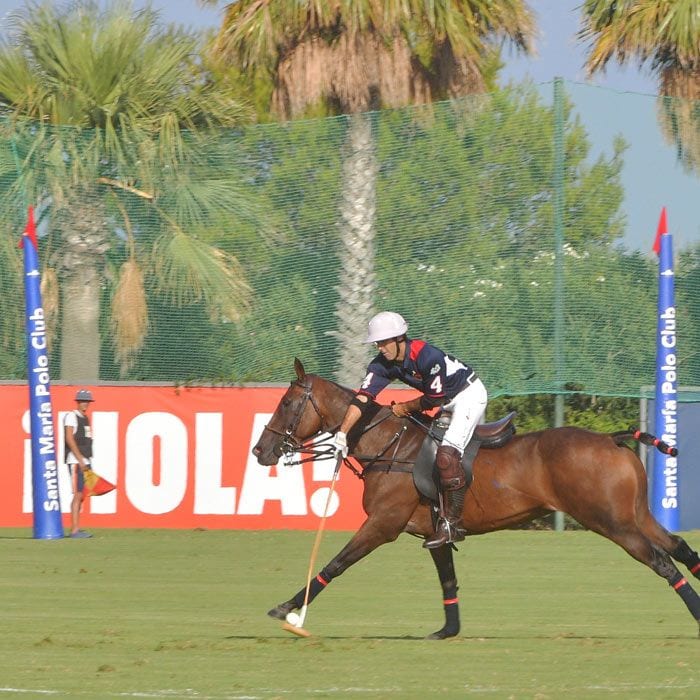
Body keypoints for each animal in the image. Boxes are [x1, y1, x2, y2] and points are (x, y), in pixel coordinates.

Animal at [253, 358, 700, 636]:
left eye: (287, 403)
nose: (260, 451)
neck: (387, 446)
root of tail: (611, 438)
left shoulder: (383, 524)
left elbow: (336, 563)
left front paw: (287, 610)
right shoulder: (433, 532)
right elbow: (447, 578)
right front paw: (448, 631)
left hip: (611, 522)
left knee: (662, 561)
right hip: (634, 515)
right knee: (678, 547)